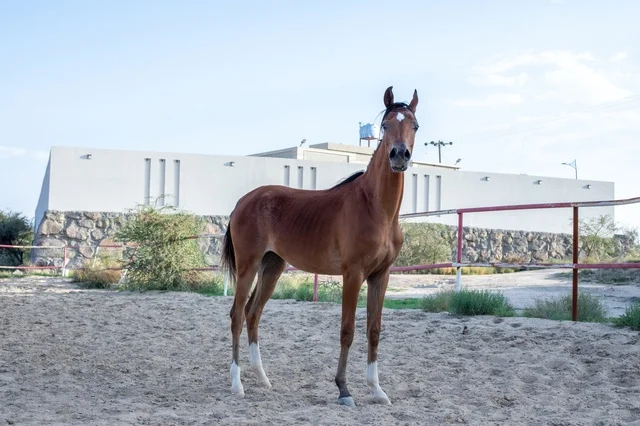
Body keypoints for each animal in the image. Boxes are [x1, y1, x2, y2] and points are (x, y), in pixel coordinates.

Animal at [220, 86, 419, 407]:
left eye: (414, 126)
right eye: (385, 125)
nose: (399, 155)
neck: (375, 208)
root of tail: (243, 201)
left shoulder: (381, 276)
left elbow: (374, 330)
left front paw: (377, 390)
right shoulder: (353, 274)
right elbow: (347, 330)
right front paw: (344, 390)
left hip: (272, 267)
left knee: (253, 313)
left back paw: (263, 379)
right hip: (248, 267)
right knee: (237, 315)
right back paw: (237, 384)